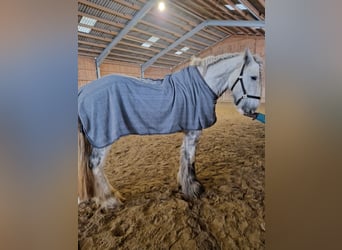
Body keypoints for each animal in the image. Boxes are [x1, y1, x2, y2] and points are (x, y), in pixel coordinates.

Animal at [79, 48, 262, 209]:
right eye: (253, 77)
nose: (252, 111)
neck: (202, 84)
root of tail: (84, 90)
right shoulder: (194, 131)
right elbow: (190, 159)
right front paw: (194, 189)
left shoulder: (188, 130)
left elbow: (184, 157)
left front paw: (184, 184)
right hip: (103, 138)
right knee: (95, 165)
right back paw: (110, 200)